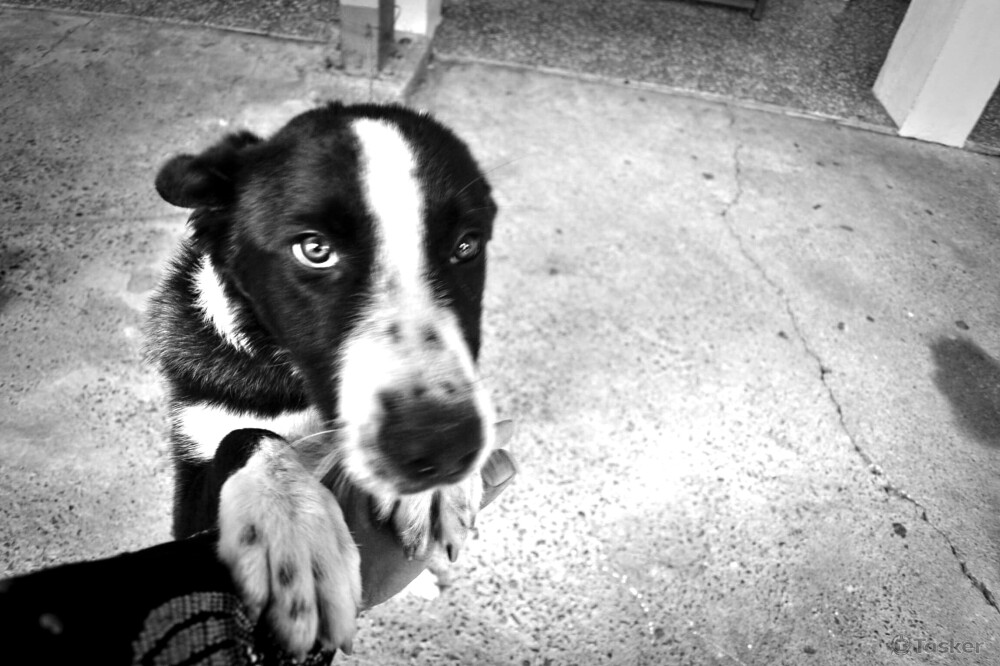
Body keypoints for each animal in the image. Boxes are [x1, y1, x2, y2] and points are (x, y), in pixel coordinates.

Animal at [146, 102, 499, 657]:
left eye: (467, 245)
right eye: (314, 249)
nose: (442, 447)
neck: (296, 388)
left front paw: (435, 493)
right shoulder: (193, 489)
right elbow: (245, 435)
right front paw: (292, 525)